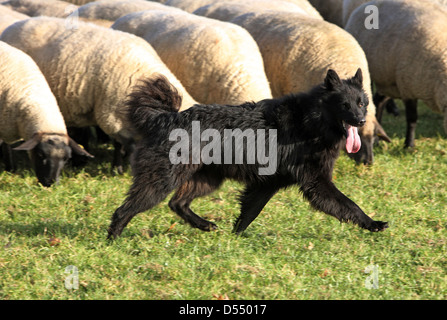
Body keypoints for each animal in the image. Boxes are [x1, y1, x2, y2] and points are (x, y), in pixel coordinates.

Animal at [107, 70, 388, 240]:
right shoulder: (316, 183)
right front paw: (372, 223)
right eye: (344, 105)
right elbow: (348, 204)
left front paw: (235, 238)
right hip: (162, 180)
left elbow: (248, 213)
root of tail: (166, 117)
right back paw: (113, 241)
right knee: (124, 210)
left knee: (177, 203)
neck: (311, 121)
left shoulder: (267, 184)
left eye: (361, 103)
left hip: (207, 179)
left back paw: (204, 224)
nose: (361, 121)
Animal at [346, 0, 447, 148]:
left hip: (389, 79)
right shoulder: (407, 87)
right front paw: (409, 145)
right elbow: (412, 118)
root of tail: (364, 5)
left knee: (379, 101)